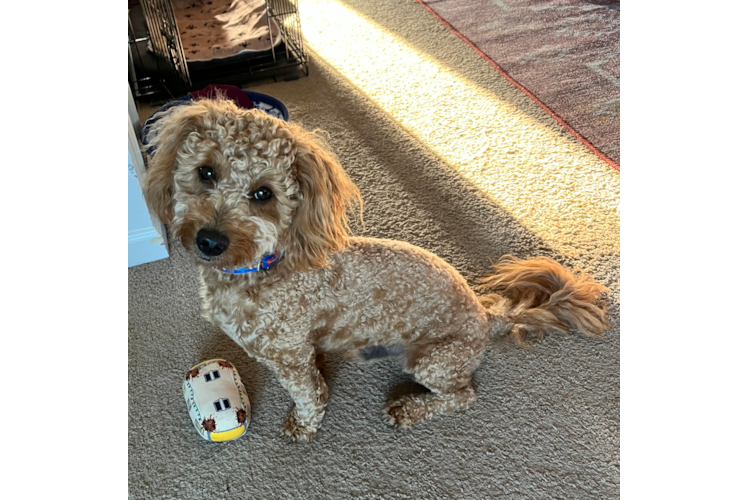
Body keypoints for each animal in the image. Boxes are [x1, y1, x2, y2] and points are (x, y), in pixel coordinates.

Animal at [142, 97, 608, 442]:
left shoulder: (289, 356)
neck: (261, 267)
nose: (210, 240)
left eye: (263, 194)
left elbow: (309, 396)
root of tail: (486, 314)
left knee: (464, 395)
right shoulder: (302, 348)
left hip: (434, 361)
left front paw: (303, 426)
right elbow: (317, 376)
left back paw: (410, 408)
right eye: (205, 172)